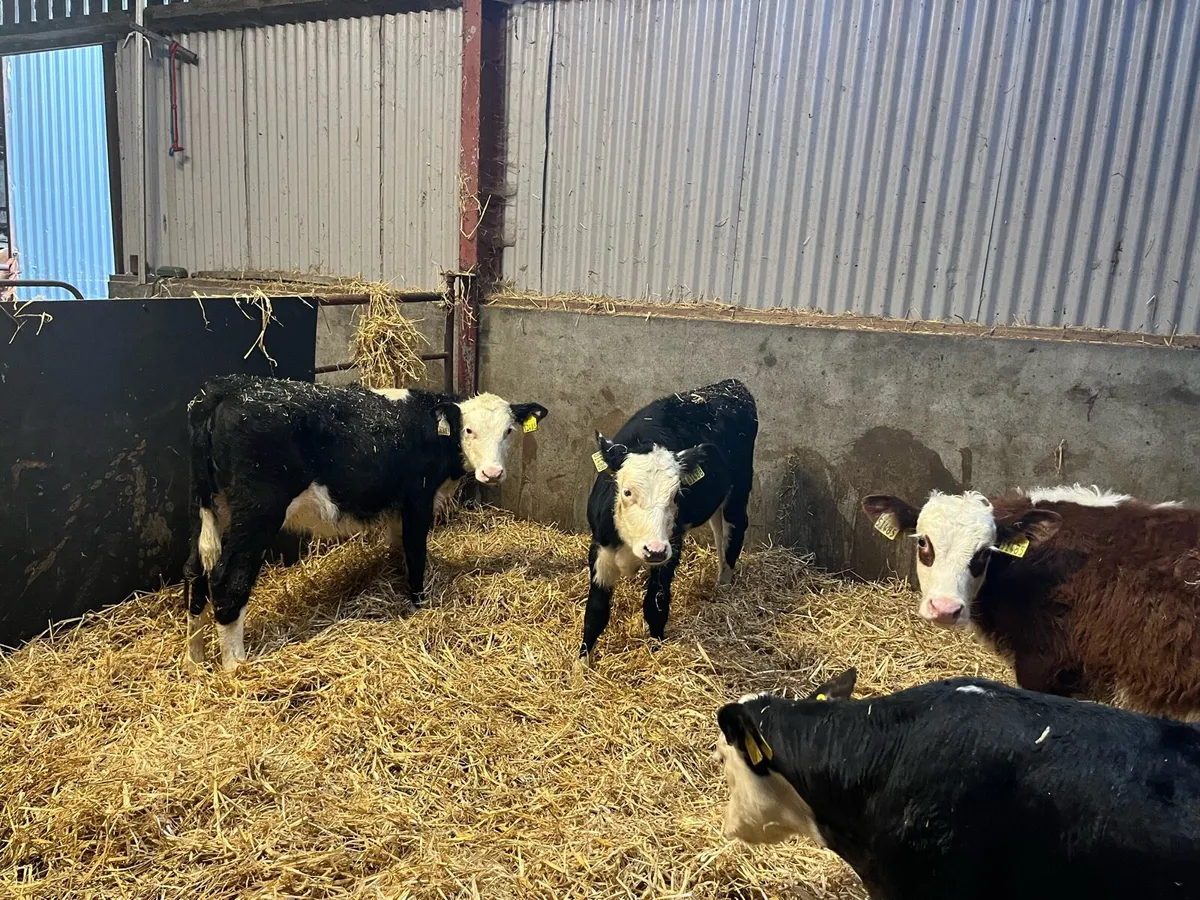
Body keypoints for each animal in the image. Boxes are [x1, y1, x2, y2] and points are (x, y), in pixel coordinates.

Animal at [183, 375, 548, 671]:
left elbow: (399, 549)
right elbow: (416, 553)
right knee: (228, 580)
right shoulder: (417, 499)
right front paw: (419, 605)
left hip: (212, 509)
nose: (492, 473)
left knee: (196, 571)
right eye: (468, 430)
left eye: (508, 432)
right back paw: (235, 668)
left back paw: (194, 659)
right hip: (257, 511)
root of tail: (225, 389)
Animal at [578, 379, 757, 668]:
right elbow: (595, 611)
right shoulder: (600, 547)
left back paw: (723, 588)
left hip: (739, 489)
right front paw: (581, 665)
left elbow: (655, 604)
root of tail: (730, 385)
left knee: (733, 533)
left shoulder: (671, 547)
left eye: (676, 495)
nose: (654, 550)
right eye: (626, 492)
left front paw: (655, 652)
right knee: (719, 533)